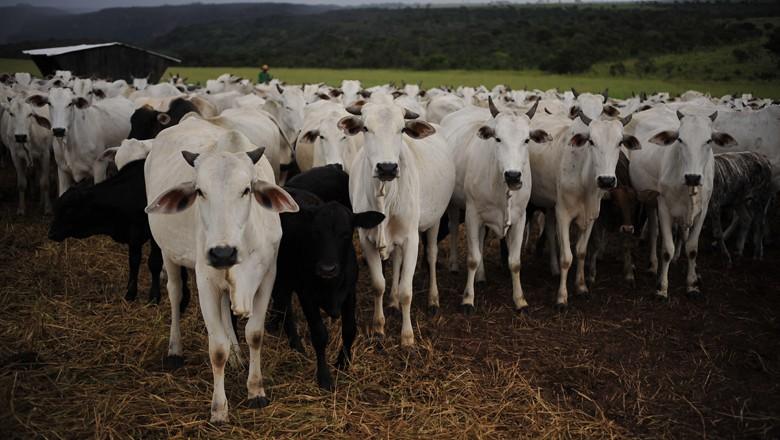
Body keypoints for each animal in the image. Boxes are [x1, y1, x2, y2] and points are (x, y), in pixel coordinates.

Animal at [143, 114, 298, 422]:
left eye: (247, 189)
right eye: (199, 191)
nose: (222, 252)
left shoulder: (267, 277)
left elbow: (254, 334)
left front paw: (256, 390)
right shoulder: (206, 282)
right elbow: (216, 349)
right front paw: (218, 409)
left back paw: (238, 356)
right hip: (168, 253)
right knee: (175, 294)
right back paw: (175, 349)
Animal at [338, 101, 454, 346]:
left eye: (401, 129)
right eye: (365, 128)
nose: (387, 168)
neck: (385, 196)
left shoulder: (411, 239)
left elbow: (406, 292)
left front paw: (407, 337)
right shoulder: (366, 239)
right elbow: (378, 284)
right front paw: (378, 327)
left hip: (435, 221)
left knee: (431, 255)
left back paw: (433, 299)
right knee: (397, 262)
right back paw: (392, 303)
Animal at [442, 98, 552, 312]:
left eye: (527, 140)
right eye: (498, 139)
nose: (513, 176)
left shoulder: (520, 218)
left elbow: (515, 262)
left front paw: (520, 300)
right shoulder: (472, 215)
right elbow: (472, 258)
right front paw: (468, 299)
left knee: (481, 240)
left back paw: (481, 276)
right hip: (454, 204)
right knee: (454, 228)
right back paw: (453, 265)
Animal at [624, 108, 736, 298]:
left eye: (708, 140)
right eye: (680, 139)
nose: (693, 177)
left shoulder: (703, 210)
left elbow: (692, 248)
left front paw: (692, 284)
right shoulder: (663, 206)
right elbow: (667, 250)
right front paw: (662, 287)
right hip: (648, 198)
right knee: (654, 232)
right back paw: (653, 265)